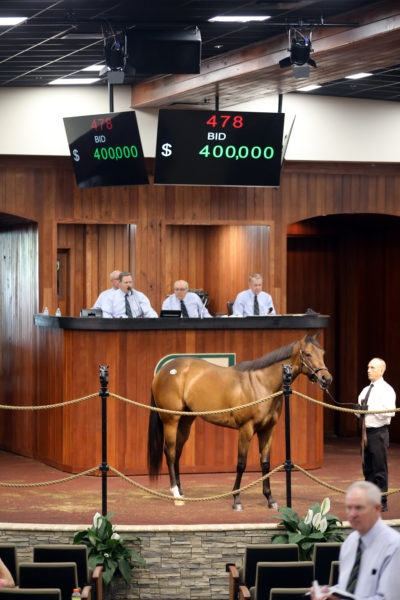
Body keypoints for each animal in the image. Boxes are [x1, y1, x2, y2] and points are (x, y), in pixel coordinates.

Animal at [147, 330, 332, 508]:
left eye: (323, 353)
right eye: (308, 354)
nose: (326, 379)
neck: (260, 384)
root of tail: (165, 370)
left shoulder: (267, 430)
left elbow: (265, 463)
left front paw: (270, 499)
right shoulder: (245, 429)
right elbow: (241, 463)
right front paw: (236, 499)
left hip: (185, 421)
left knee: (177, 452)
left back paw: (181, 492)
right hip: (171, 420)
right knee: (170, 452)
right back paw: (176, 495)